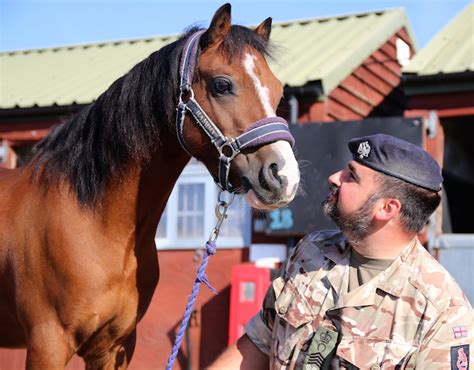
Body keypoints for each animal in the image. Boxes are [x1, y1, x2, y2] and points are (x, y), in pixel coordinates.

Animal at [0, 3, 300, 370]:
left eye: (278, 91)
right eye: (222, 84)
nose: (283, 176)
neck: (96, 226)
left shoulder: (115, 347)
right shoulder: (48, 345)